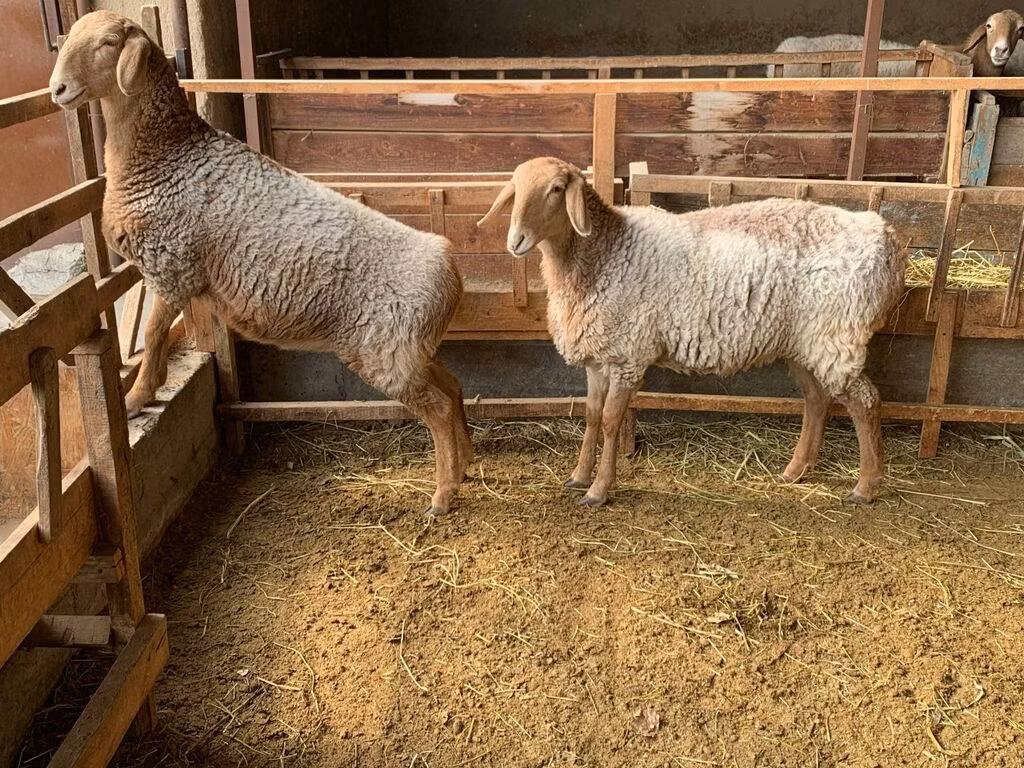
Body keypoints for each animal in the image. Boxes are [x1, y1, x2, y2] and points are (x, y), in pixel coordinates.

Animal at [49, 10, 473, 515]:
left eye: (109, 42)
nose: (57, 89)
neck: (164, 155)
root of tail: (447, 268)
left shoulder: (171, 263)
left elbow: (152, 334)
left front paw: (136, 396)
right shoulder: (173, 269)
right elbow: (155, 333)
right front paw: (143, 391)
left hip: (387, 349)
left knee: (439, 408)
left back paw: (444, 494)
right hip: (406, 347)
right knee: (453, 387)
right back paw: (466, 464)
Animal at [478, 157, 905, 507]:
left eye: (555, 189)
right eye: (515, 188)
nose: (515, 241)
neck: (604, 254)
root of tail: (884, 236)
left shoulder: (628, 354)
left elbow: (612, 421)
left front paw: (599, 490)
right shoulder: (599, 356)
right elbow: (591, 416)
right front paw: (579, 476)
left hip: (836, 334)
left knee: (865, 402)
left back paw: (866, 487)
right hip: (803, 341)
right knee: (816, 399)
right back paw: (795, 470)